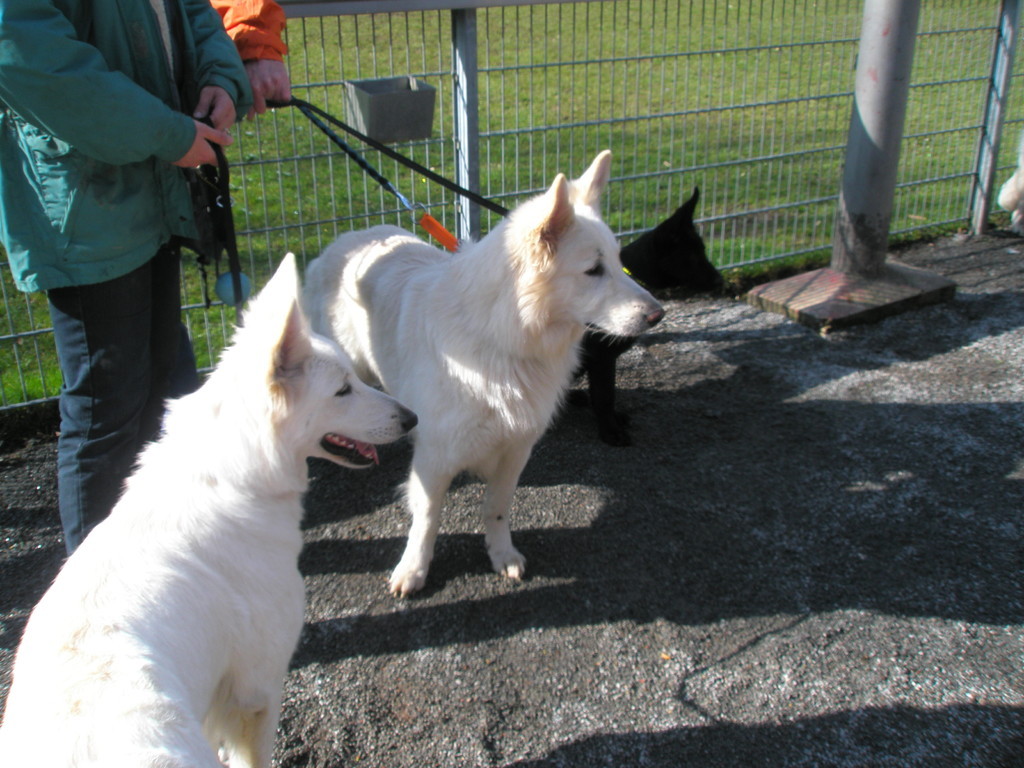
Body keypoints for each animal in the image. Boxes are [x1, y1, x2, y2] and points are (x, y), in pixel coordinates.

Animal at [304, 150, 663, 596]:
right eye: (594, 270)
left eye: (617, 261)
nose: (659, 315)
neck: (503, 337)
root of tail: (343, 241)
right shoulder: (435, 458)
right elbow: (427, 520)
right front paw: (414, 569)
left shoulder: (516, 450)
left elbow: (497, 508)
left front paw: (500, 554)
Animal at [576, 186, 721, 446]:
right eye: (693, 256)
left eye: (703, 251)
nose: (720, 281)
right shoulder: (602, 358)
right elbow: (605, 396)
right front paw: (610, 431)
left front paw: (614, 419)